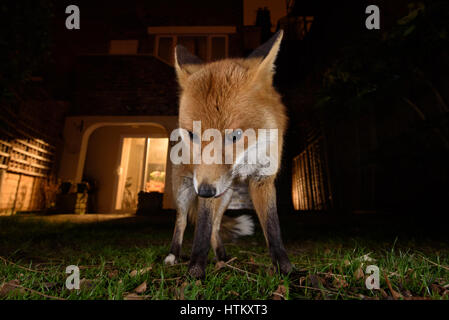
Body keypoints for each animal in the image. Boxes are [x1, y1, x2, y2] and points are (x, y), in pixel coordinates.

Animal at [164, 31, 290, 278]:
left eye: (236, 135)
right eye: (192, 134)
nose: (204, 191)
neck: (245, 163)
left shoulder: (263, 179)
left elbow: (273, 230)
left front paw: (286, 270)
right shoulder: (204, 181)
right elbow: (201, 230)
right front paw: (195, 271)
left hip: (225, 195)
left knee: (216, 226)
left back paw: (222, 257)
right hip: (185, 190)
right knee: (181, 222)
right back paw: (174, 255)